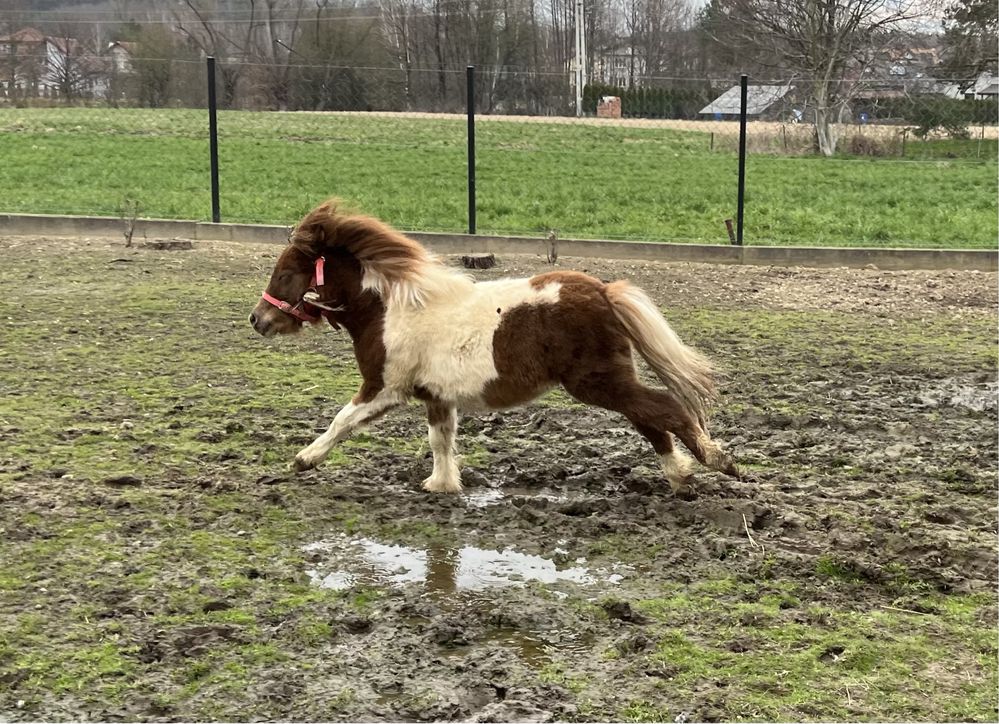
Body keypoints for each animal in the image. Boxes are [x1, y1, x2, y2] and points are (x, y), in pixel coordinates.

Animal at [249, 201, 740, 494]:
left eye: (285, 274)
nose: (257, 319)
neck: (390, 309)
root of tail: (603, 291)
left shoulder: (384, 388)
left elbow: (342, 421)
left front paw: (303, 460)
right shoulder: (437, 397)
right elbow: (441, 439)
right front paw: (442, 485)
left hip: (597, 382)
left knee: (665, 409)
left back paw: (718, 461)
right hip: (609, 380)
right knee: (650, 418)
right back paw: (680, 474)